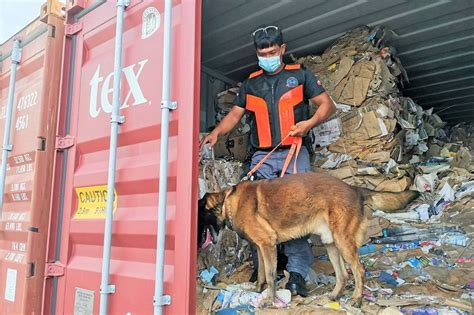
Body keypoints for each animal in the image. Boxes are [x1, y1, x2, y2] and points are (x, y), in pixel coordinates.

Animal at [204, 172, 418, 308]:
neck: (229, 201)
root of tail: (355, 188)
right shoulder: (259, 247)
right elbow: (262, 273)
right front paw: (257, 290)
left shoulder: (267, 245)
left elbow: (271, 276)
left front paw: (269, 300)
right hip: (331, 243)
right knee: (343, 274)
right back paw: (335, 295)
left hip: (343, 242)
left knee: (359, 270)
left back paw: (357, 298)